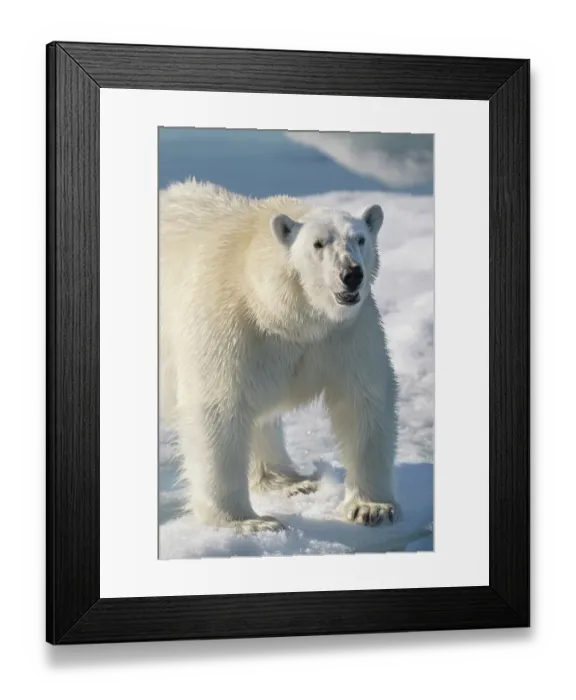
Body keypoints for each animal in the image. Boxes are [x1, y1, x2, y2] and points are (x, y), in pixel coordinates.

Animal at [159, 179, 399, 534]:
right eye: (318, 244)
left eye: (360, 238)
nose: (351, 274)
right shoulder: (228, 324)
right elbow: (217, 408)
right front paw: (248, 521)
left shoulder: (344, 332)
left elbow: (363, 398)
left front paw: (372, 507)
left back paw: (288, 481)